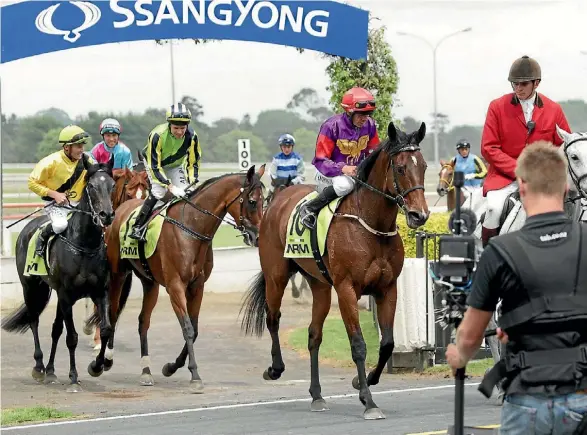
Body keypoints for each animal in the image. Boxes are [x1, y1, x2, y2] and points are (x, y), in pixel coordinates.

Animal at [1, 155, 116, 394]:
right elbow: (71, 337)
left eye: (112, 185)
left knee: (55, 329)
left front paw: (97, 366)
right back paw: (39, 367)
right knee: (34, 320)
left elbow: (105, 329)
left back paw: (51, 371)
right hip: (30, 287)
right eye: (91, 186)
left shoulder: (100, 292)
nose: (107, 215)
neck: (84, 246)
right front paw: (73, 376)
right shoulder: (66, 295)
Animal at [86, 166, 266, 392]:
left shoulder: (197, 286)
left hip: (150, 282)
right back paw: (101, 363)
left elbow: (194, 330)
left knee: (143, 321)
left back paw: (146, 371)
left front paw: (172, 367)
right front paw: (195, 375)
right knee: (112, 314)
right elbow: (187, 328)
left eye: (264, 200)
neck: (191, 229)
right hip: (118, 274)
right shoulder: (175, 286)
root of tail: (119, 211)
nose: (257, 237)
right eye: (252, 201)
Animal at [241, 122, 430, 418]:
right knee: (273, 318)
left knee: (313, 335)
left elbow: (387, 343)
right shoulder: (346, 289)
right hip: (276, 276)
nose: (419, 215)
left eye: (422, 165)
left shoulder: (387, 288)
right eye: (400, 168)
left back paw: (317, 395)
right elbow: (359, 344)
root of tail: (278, 200)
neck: (371, 225)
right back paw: (274, 369)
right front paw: (369, 401)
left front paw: (364, 382)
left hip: (319, 285)